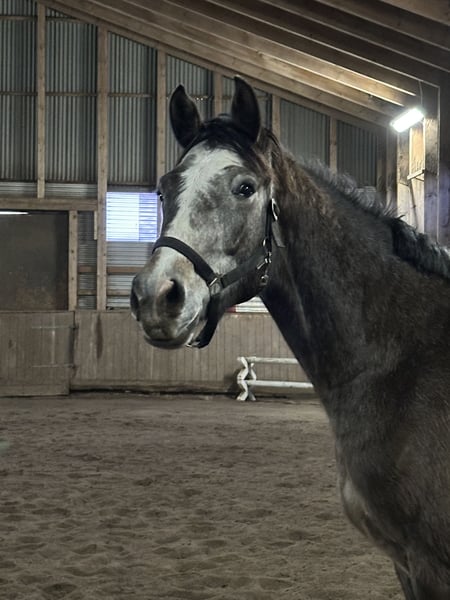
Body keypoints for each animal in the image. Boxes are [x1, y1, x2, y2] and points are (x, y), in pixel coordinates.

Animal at [130, 76, 450, 599]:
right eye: (163, 189)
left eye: (245, 188)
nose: (156, 296)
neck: (405, 362)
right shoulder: (405, 565)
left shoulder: (431, 565)